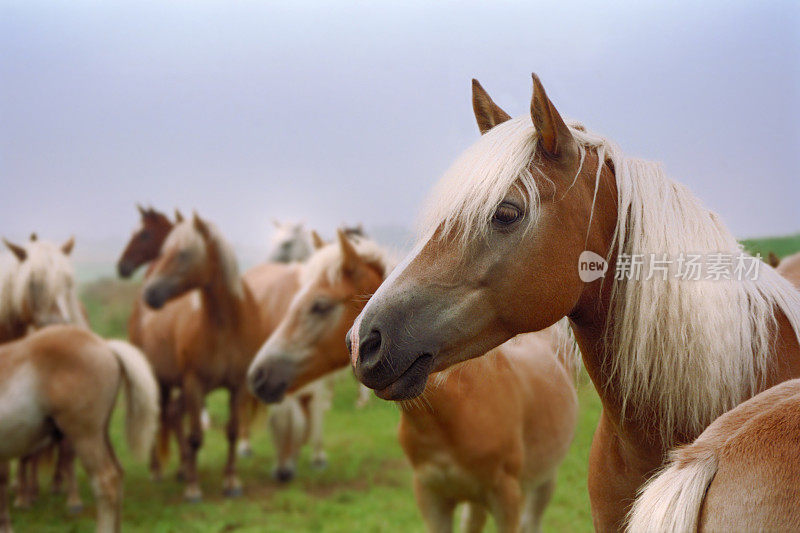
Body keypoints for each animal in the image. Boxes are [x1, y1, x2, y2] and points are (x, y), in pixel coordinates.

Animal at [139, 211, 260, 498]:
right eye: (164, 251)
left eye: (183, 254)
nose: (150, 293)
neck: (225, 325)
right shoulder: (194, 382)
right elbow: (195, 436)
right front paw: (193, 488)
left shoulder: (238, 385)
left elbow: (232, 431)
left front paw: (231, 481)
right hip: (161, 381)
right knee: (160, 418)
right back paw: (158, 470)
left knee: (172, 414)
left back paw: (183, 468)